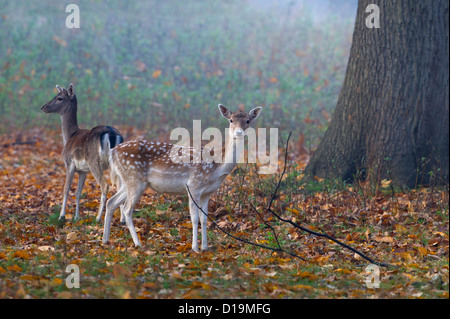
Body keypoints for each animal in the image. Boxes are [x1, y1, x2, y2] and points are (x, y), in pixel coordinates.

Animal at [41, 84, 124, 222]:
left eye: (59, 98)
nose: (43, 107)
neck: (69, 135)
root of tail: (111, 134)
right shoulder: (83, 170)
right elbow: (78, 192)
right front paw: (76, 217)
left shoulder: (69, 163)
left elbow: (66, 189)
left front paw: (62, 216)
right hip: (117, 163)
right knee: (122, 186)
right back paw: (122, 219)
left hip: (94, 162)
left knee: (105, 185)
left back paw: (98, 218)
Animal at [102, 105, 262, 252]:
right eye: (231, 120)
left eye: (248, 120)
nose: (239, 132)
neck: (217, 166)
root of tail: (113, 151)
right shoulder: (194, 186)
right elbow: (195, 218)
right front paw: (195, 248)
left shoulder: (208, 192)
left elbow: (205, 218)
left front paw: (205, 247)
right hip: (134, 178)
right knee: (127, 209)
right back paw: (137, 243)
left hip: (128, 181)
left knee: (111, 202)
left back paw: (105, 240)